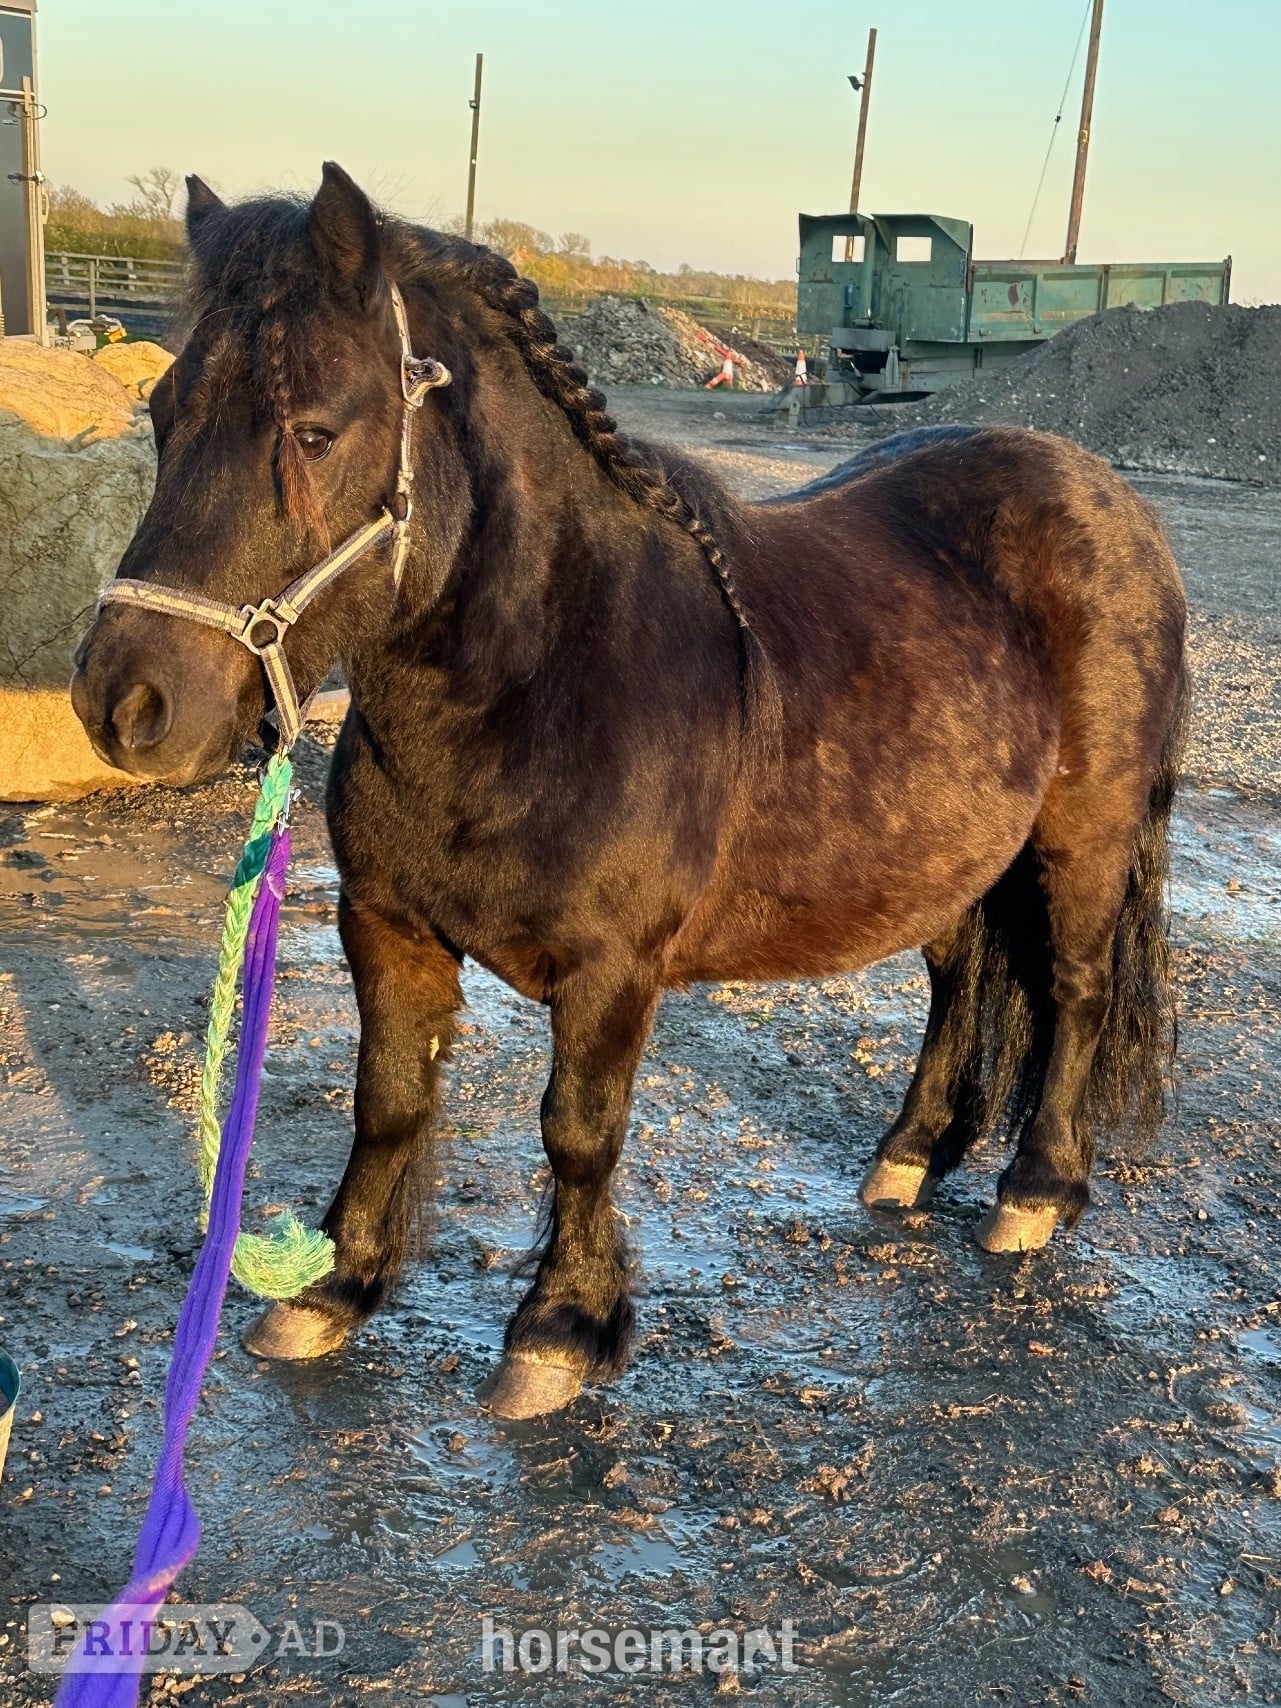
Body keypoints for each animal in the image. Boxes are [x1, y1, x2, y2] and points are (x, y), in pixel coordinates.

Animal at [71, 164, 1188, 1418]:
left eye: (312, 430)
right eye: (162, 412)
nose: (124, 701)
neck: (553, 678)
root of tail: (1113, 503)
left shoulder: (614, 970)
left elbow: (578, 1132)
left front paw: (561, 1329)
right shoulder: (386, 924)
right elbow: (390, 1097)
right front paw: (334, 1290)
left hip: (1083, 836)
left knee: (1077, 992)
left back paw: (1035, 1191)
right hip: (954, 853)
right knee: (961, 980)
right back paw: (910, 1156)